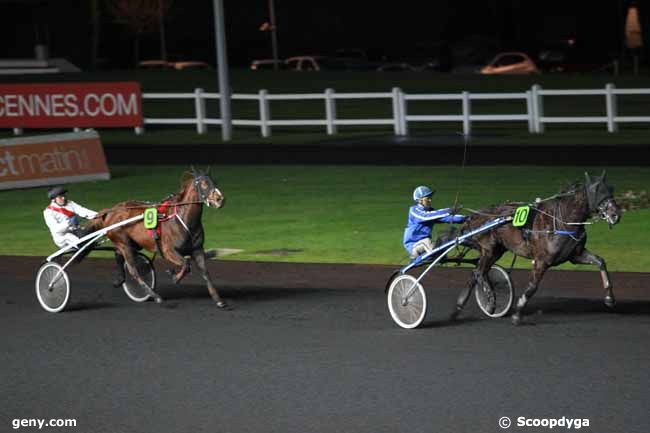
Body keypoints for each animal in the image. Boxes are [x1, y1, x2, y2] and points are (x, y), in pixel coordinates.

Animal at [87, 167, 227, 306]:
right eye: (204, 183)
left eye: (214, 182)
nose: (220, 199)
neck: (183, 219)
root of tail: (110, 211)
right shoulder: (168, 251)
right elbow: (186, 264)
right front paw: (175, 277)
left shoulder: (197, 250)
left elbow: (205, 273)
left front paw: (218, 300)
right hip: (123, 243)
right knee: (133, 270)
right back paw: (155, 295)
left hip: (132, 243)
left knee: (118, 255)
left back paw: (120, 279)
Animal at [454, 171, 620, 324]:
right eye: (597, 190)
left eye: (611, 189)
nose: (615, 214)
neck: (560, 221)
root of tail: (473, 216)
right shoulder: (541, 261)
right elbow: (532, 287)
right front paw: (517, 314)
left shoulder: (575, 255)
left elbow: (600, 262)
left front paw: (609, 298)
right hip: (489, 249)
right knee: (479, 273)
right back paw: (490, 302)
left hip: (496, 251)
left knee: (475, 274)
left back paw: (459, 307)